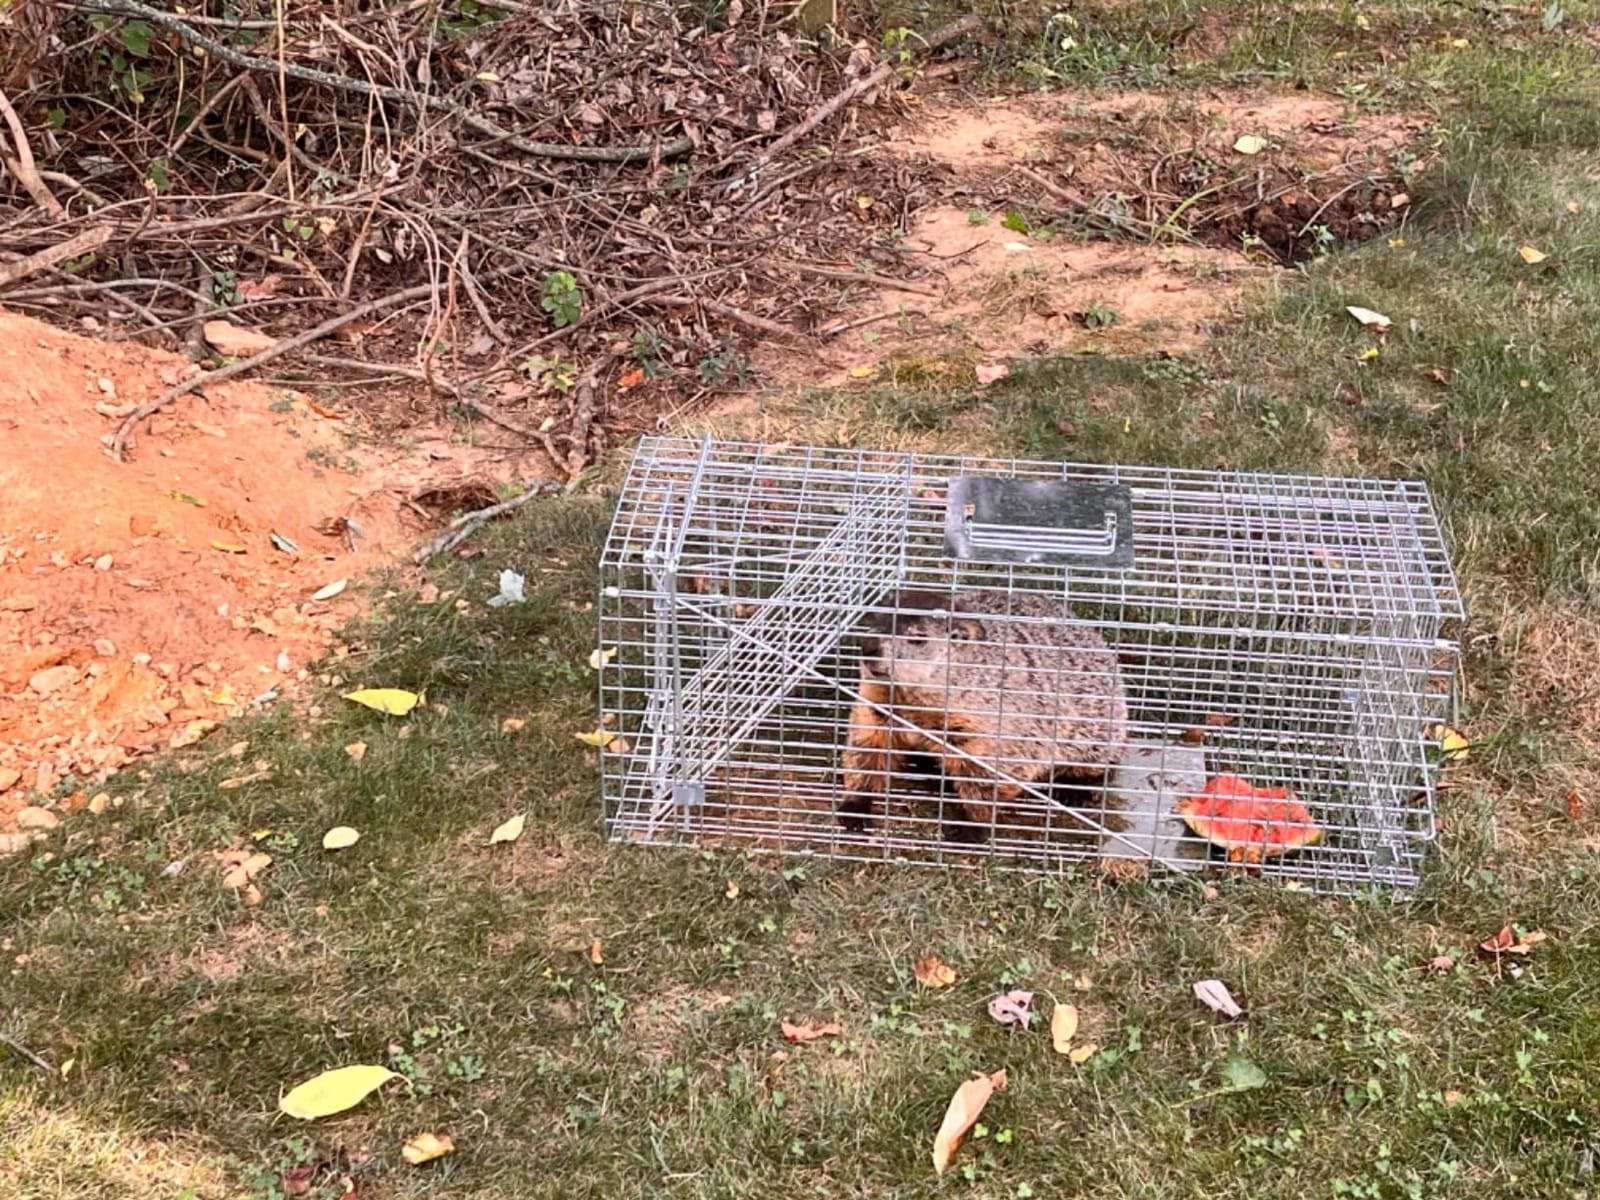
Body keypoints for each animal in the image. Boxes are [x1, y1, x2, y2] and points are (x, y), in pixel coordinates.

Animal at [838, 588, 1129, 842]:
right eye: (876, 619)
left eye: (918, 637)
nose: (867, 645)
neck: (912, 701)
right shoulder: (875, 706)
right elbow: (868, 747)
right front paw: (854, 807)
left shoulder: (984, 723)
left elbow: (987, 772)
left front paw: (970, 827)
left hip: (1096, 729)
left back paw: (1077, 788)